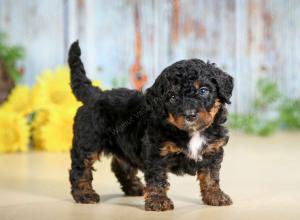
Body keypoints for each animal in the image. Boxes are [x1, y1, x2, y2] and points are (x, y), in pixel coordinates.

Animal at [68, 41, 234, 211]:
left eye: (203, 90)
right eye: (172, 97)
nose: (190, 115)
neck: (192, 132)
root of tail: (94, 94)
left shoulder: (213, 150)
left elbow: (210, 176)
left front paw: (215, 196)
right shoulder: (156, 153)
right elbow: (157, 177)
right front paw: (158, 201)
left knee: (120, 165)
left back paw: (134, 187)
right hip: (88, 142)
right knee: (80, 168)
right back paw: (84, 194)